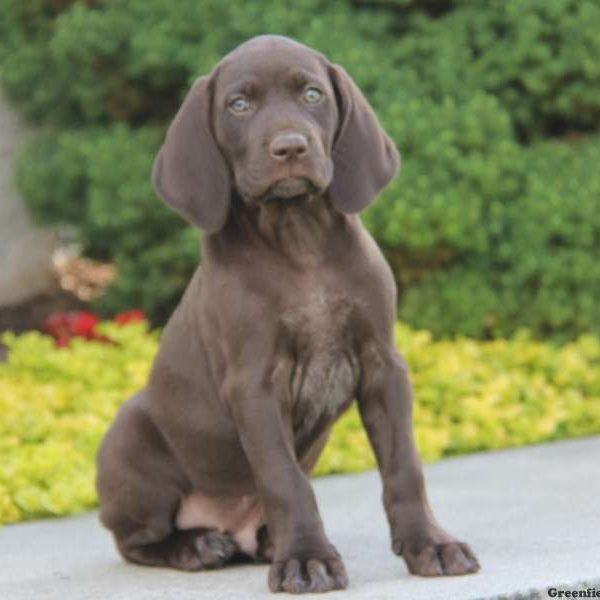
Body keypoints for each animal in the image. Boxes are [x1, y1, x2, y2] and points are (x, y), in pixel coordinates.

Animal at [97, 35, 478, 592]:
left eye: (313, 94)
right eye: (238, 104)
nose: (290, 148)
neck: (300, 241)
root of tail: (233, 530)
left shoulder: (384, 366)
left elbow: (405, 466)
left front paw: (429, 543)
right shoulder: (254, 383)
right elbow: (284, 478)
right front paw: (306, 557)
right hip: (127, 437)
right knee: (133, 541)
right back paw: (196, 545)